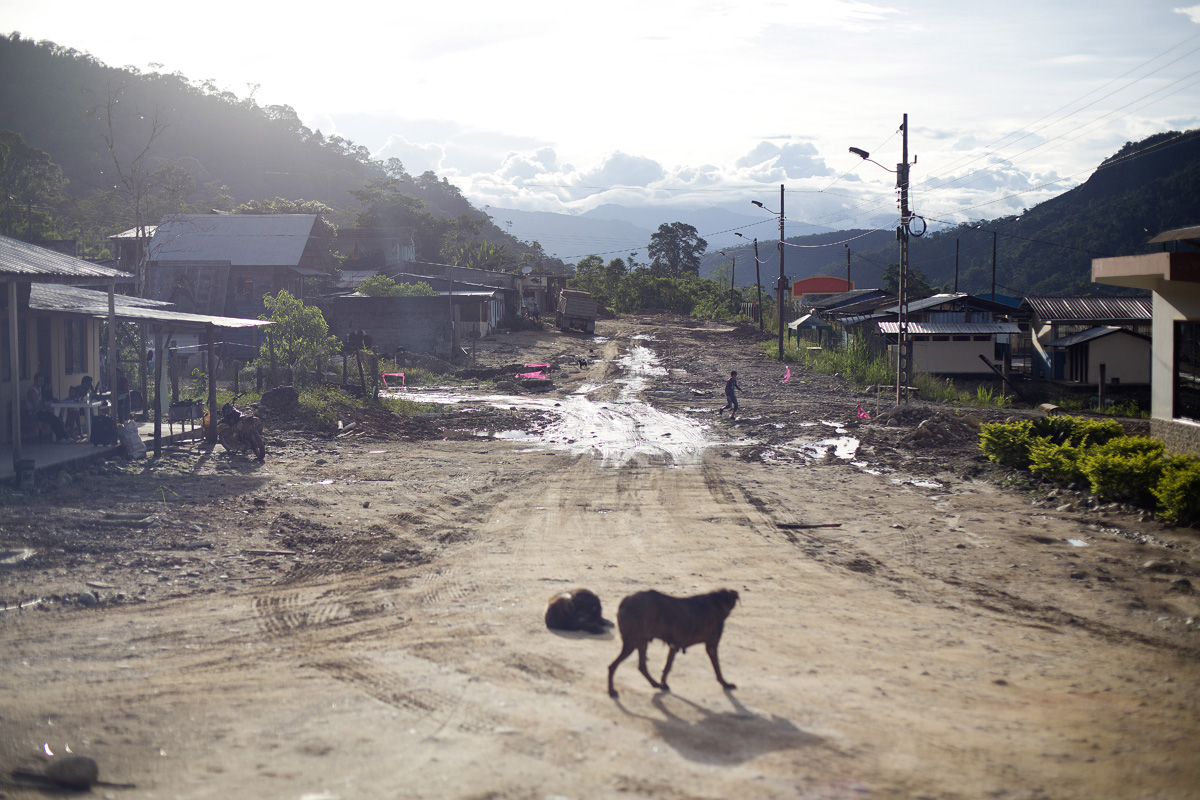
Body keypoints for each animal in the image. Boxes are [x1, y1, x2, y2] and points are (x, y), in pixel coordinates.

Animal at [609, 587, 739, 700]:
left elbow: (667, 666)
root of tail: (625, 602)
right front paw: (725, 684)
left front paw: (663, 683)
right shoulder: (711, 646)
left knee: (641, 666)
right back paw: (611, 691)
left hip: (641, 642)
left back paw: (655, 684)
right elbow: (718, 669)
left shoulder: (674, 645)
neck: (717, 602)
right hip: (631, 643)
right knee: (613, 666)